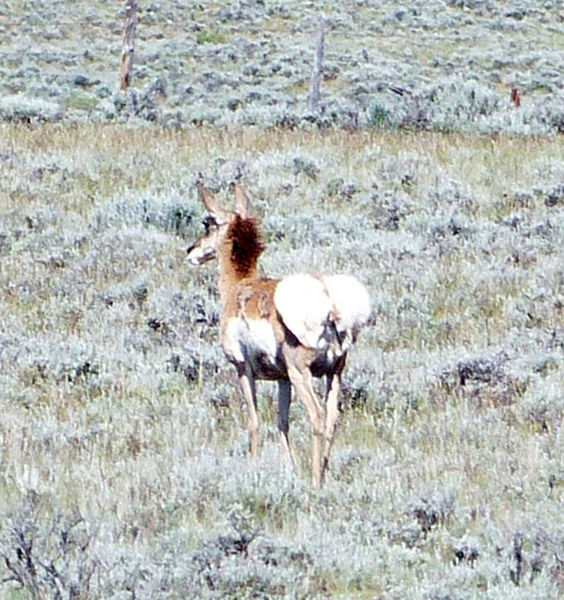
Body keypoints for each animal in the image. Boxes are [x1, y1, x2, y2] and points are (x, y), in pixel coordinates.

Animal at [186, 183, 370, 488]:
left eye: (208, 223)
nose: (191, 250)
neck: (240, 287)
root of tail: (330, 302)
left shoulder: (243, 369)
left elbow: (254, 421)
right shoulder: (282, 379)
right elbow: (281, 422)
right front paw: (290, 469)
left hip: (301, 373)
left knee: (318, 417)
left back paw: (315, 482)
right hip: (334, 373)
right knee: (332, 419)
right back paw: (323, 473)